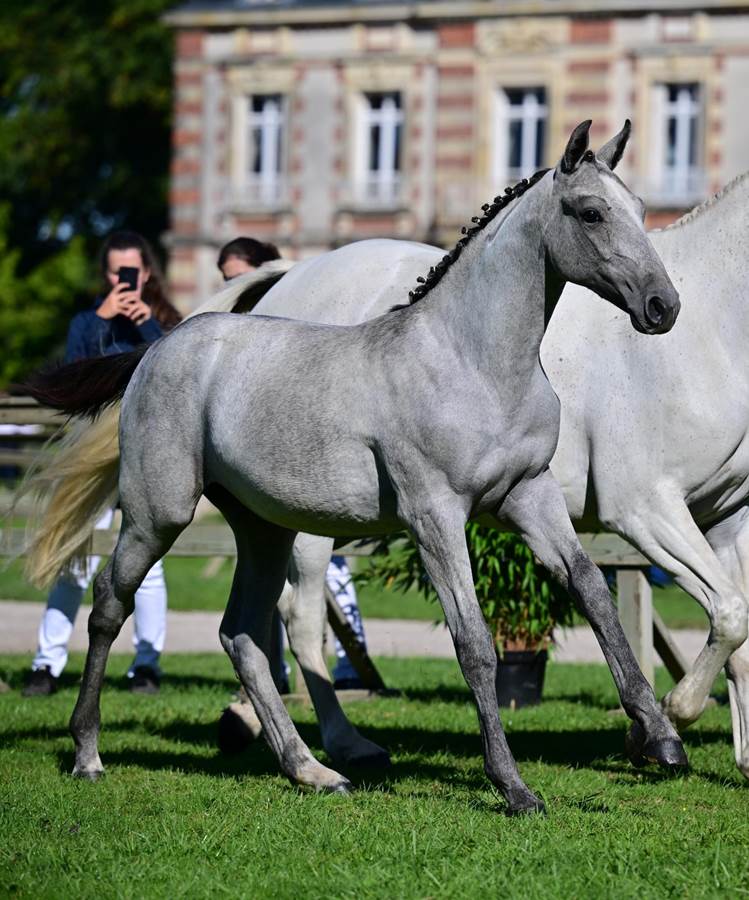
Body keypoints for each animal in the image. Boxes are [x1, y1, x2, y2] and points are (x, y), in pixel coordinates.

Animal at [22, 121, 684, 815]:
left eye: (641, 210)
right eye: (590, 212)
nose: (662, 306)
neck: (472, 361)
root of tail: (156, 349)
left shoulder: (528, 497)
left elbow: (592, 593)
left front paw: (662, 739)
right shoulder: (435, 515)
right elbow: (474, 641)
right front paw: (513, 785)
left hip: (263, 529)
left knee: (242, 634)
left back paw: (312, 770)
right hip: (159, 512)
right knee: (109, 605)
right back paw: (88, 754)